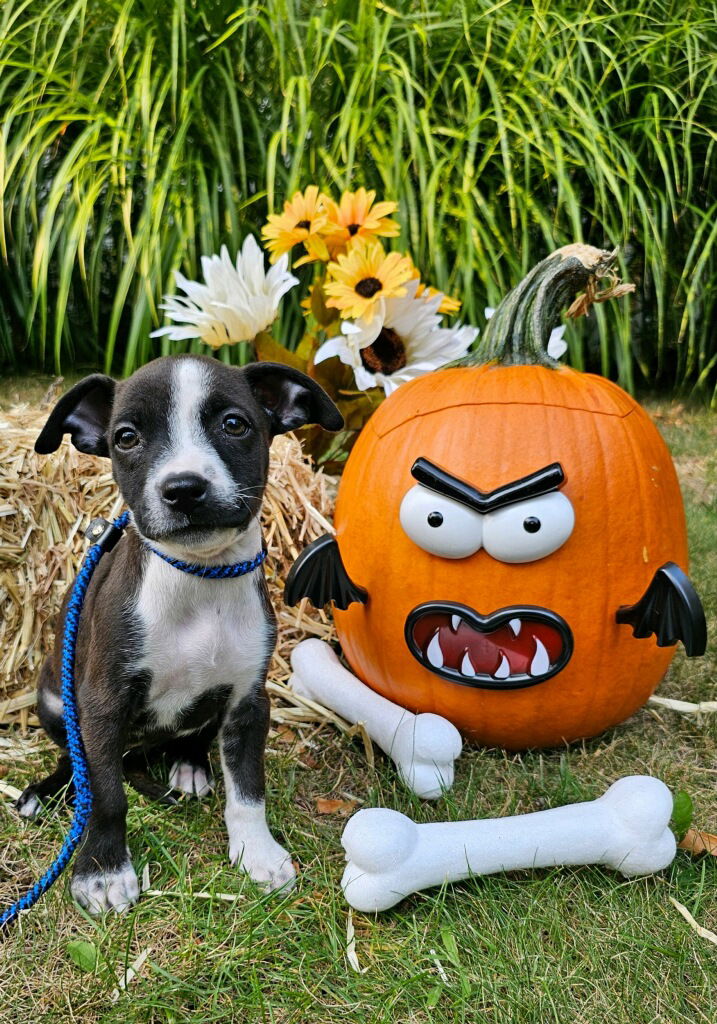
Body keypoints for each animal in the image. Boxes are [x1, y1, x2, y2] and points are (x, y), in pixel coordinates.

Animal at [16, 356, 342, 917]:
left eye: (234, 424)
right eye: (125, 437)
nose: (184, 487)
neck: (200, 580)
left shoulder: (248, 702)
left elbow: (248, 788)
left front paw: (257, 852)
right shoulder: (101, 702)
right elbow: (105, 793)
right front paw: (103, 871)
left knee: (190, 739)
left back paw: (189, 766)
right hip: (57, 701)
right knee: (76, 762)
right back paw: (48, 791)